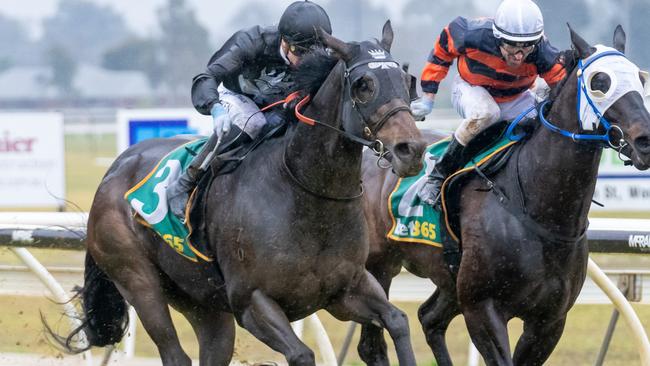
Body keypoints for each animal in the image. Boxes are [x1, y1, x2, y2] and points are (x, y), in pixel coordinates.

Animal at [60, 21, 426, 364]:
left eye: (406, 80)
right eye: (364, 84)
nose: (412, 149)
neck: (306, 193)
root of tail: (114, 169)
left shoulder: (346, 288)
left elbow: (398, 320)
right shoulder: (252, 302)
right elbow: (302, 354)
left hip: (201, 302)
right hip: (136, 277)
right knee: (173, 350)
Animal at [354, 26, 648, 366]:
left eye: (640, 79)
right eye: (600, 82)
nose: (644, 140)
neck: (541, 210)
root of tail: (375, 152)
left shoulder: (549, 321)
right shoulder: (483, 308)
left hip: (450, 282)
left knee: (430, 318)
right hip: (378, 268)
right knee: (372, 345)